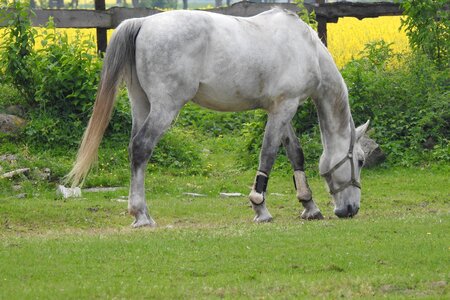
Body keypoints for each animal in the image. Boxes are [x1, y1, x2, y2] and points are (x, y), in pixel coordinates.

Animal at [67, 7, 370, 227]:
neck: (307, 49)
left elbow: (295, 154)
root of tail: (143, 22)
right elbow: (268, 155)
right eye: (360, 160)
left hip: (141, 105)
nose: (351, 209)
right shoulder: (285, 108)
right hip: (165, 108)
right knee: (141, 148)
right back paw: (141, 214)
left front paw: (309, 206)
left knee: (134, 149)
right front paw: (260, 207)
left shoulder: (279, 109)